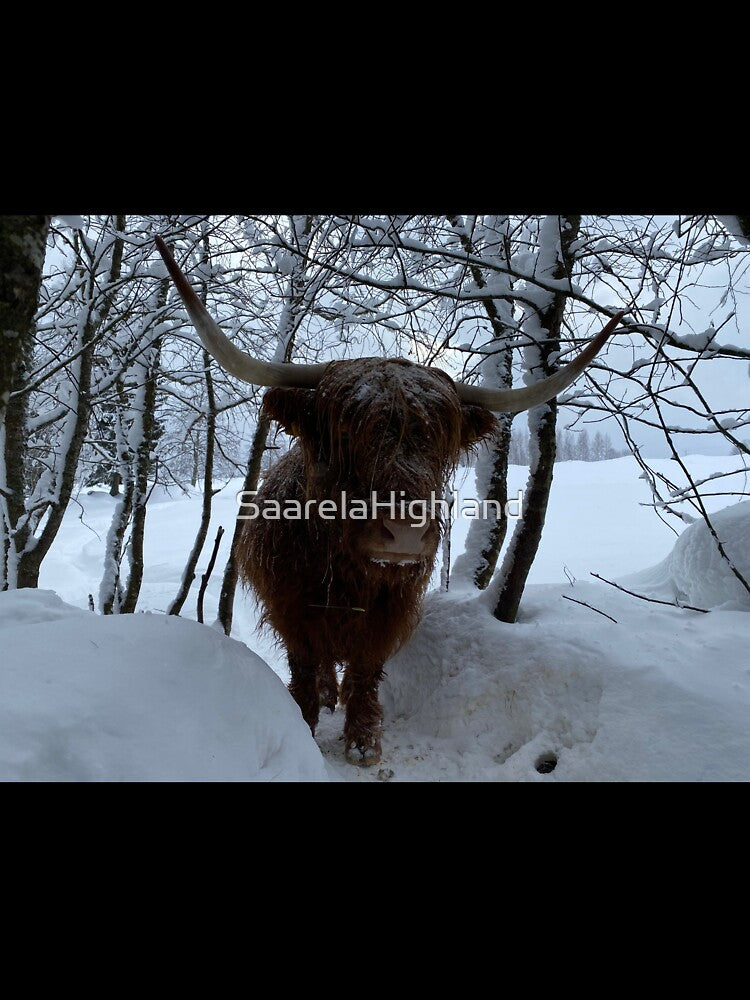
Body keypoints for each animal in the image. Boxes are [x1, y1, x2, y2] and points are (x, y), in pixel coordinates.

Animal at [155, 236, 622, 766]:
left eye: (438, 442)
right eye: (343, 437)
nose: (404, 534)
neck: (348, 574)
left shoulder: (389, 611)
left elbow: (365, 669)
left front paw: (363, 740)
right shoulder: (293, 609)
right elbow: (304, 665)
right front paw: (306, 723)